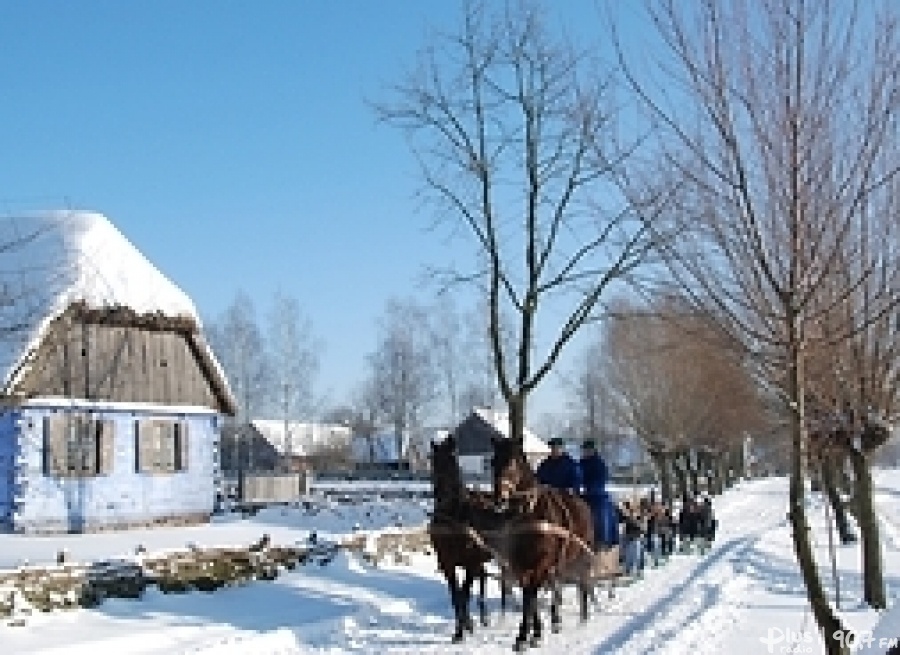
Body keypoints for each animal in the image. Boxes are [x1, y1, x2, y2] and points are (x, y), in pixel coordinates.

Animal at [428, 438, 506, 644]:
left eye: (451, 463)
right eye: (433, 462)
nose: (439, 494)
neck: (452, 518)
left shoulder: (470, 562)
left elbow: (464, 593)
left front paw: (463, 629)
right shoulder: (447, 563)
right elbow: (456, 596)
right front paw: (462, 628)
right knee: (484, 577)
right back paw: (482, 617)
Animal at [478, 436, 596, 652]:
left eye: (512, 463)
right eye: (492, 462)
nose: (499, 499)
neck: (529, 514)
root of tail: (583, 505)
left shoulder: (540, 565)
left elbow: (531, 596)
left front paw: (531, 635)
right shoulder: (520, 566)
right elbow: (529, 597)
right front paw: (528, 635)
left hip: (581, 557)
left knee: (582, 583)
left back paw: (583, 618)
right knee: (556, 585)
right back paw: (556, 620)